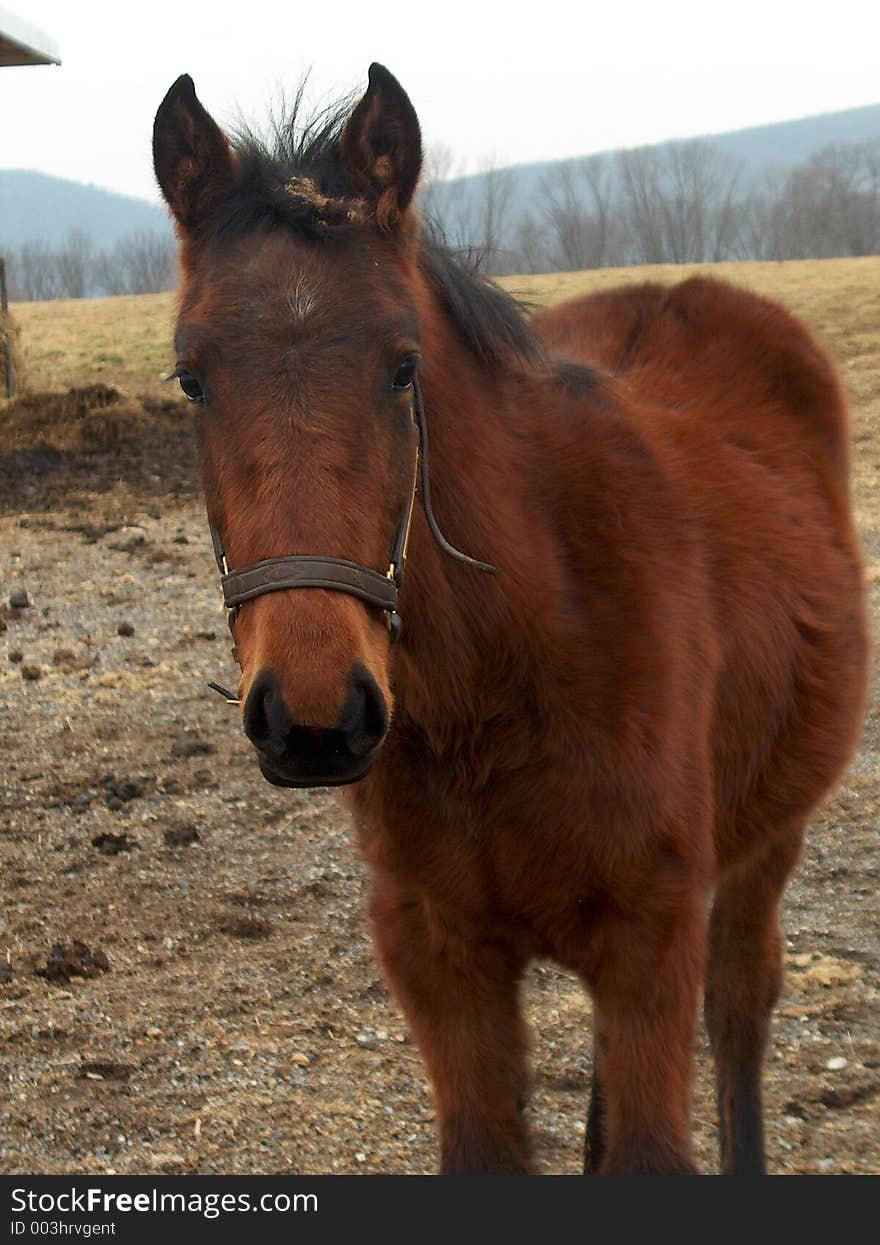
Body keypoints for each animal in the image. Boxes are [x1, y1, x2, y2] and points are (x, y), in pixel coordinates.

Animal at [151, 65, 866, 1175]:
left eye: (403, 366)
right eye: (191, 376)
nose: (312, 717)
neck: (510, 672)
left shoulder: (651, 942)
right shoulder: (440, 956)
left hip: (765, 844)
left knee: (742, 1007)